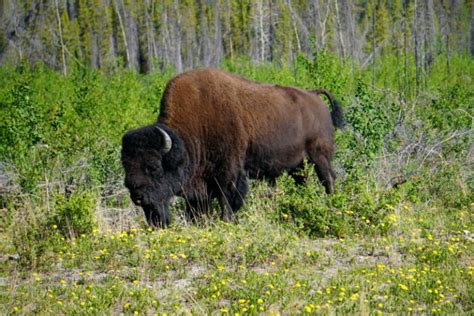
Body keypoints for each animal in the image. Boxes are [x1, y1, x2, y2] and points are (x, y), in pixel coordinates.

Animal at [120, 68, 342, 227]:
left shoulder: (228, 172)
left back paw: (332, 204)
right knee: (304, 182)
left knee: (328, 178)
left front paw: (227, 221)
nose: (137, 196)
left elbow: (228, 198)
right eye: (126, 167)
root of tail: (313, 95)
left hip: (319, 155)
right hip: (299, 164)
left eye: (154, 167)